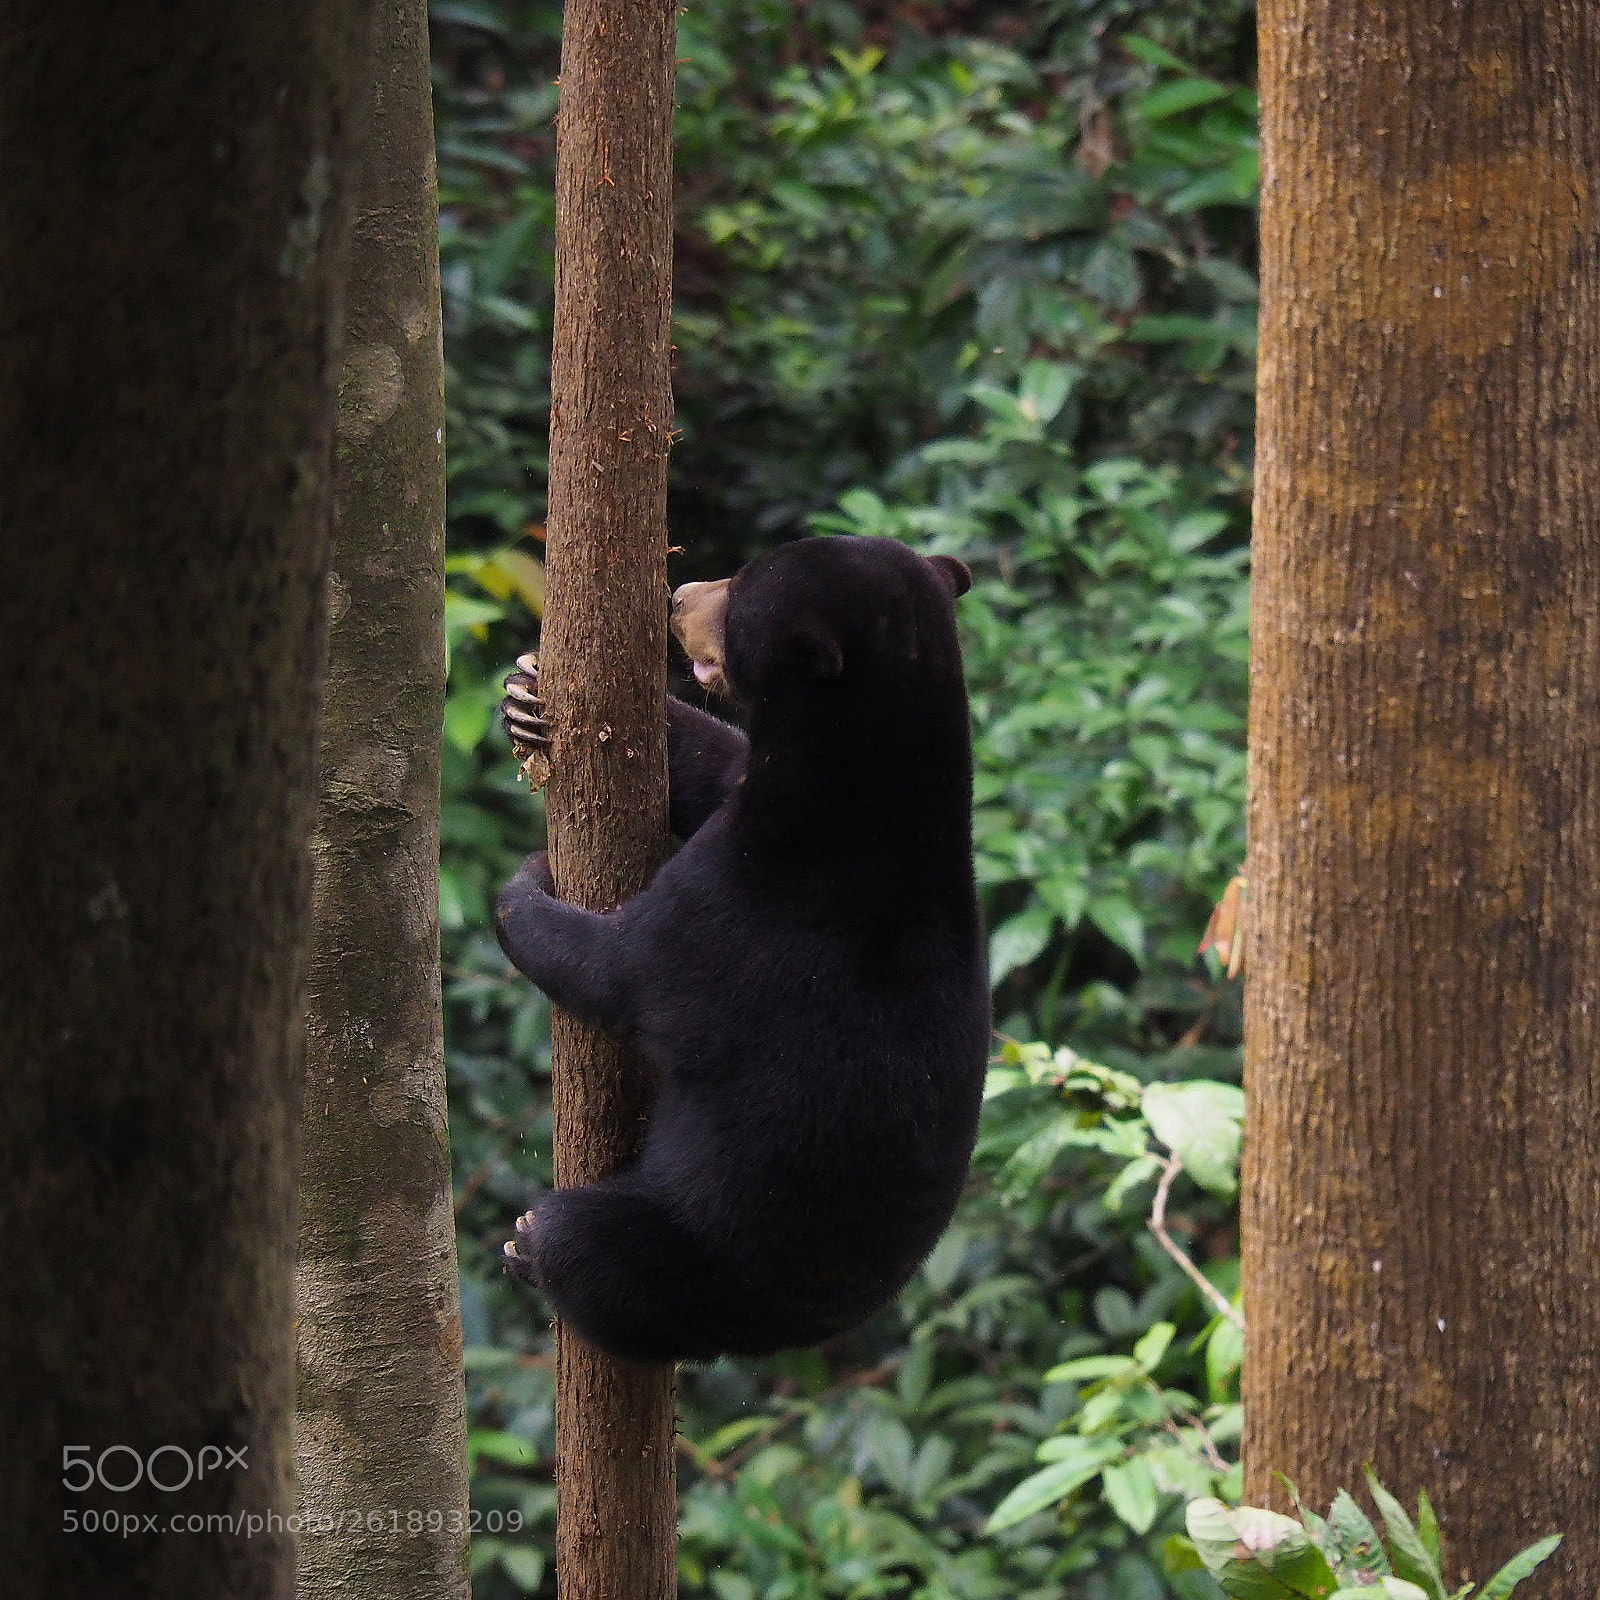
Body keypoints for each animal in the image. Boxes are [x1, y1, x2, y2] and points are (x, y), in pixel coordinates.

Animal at [495, 534, 991, 1364]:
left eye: (740, 588)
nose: (678, 595)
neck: (867, 801)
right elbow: (710, 765)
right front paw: (525, 693)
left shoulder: (749, 912)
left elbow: (620, 971)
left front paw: (525, 883)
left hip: (693, 1255)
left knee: (590, 1247)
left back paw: (530, 1242)